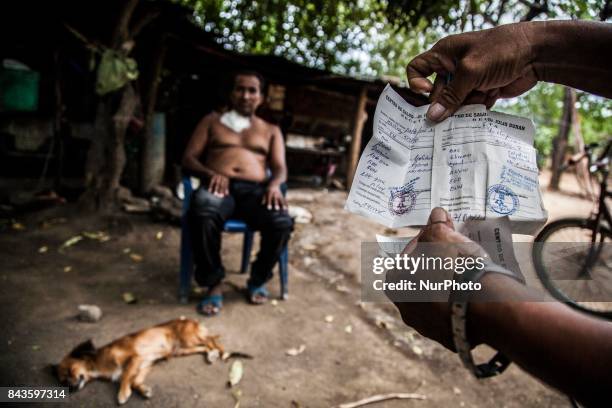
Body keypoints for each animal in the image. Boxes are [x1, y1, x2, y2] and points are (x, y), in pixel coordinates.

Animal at [54, 318, 222, 404]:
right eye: (63, 380)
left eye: (70, 370)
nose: (71, 388)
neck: (99, 363)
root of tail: (189, 319)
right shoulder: (145, 365)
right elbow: (134, 381)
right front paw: (143, 389)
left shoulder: (135, 358)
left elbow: (125, 376)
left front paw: (122, 394)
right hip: (182, 349)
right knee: (204, 347)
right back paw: (211, 355)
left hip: (189, 338)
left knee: (211, 341)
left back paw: (221, 353)